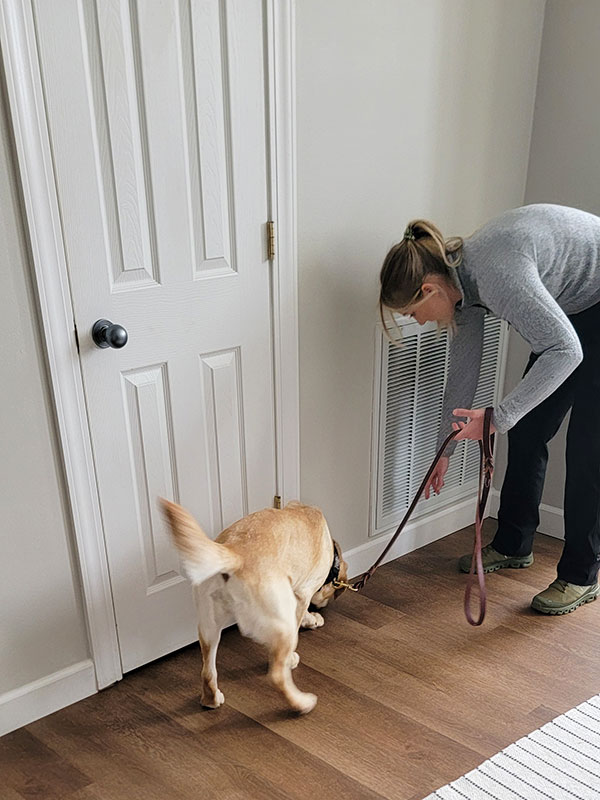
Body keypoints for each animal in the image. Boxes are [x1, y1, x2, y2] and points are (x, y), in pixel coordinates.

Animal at [161, 500, 346, 712]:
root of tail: (235, 552)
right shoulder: (301, 594)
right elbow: (300, 615)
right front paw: (310, 622)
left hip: (208, 625)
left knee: (207, 671)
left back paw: (210, 700)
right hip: (281, 621)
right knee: (277, 675)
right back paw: (301, 702)